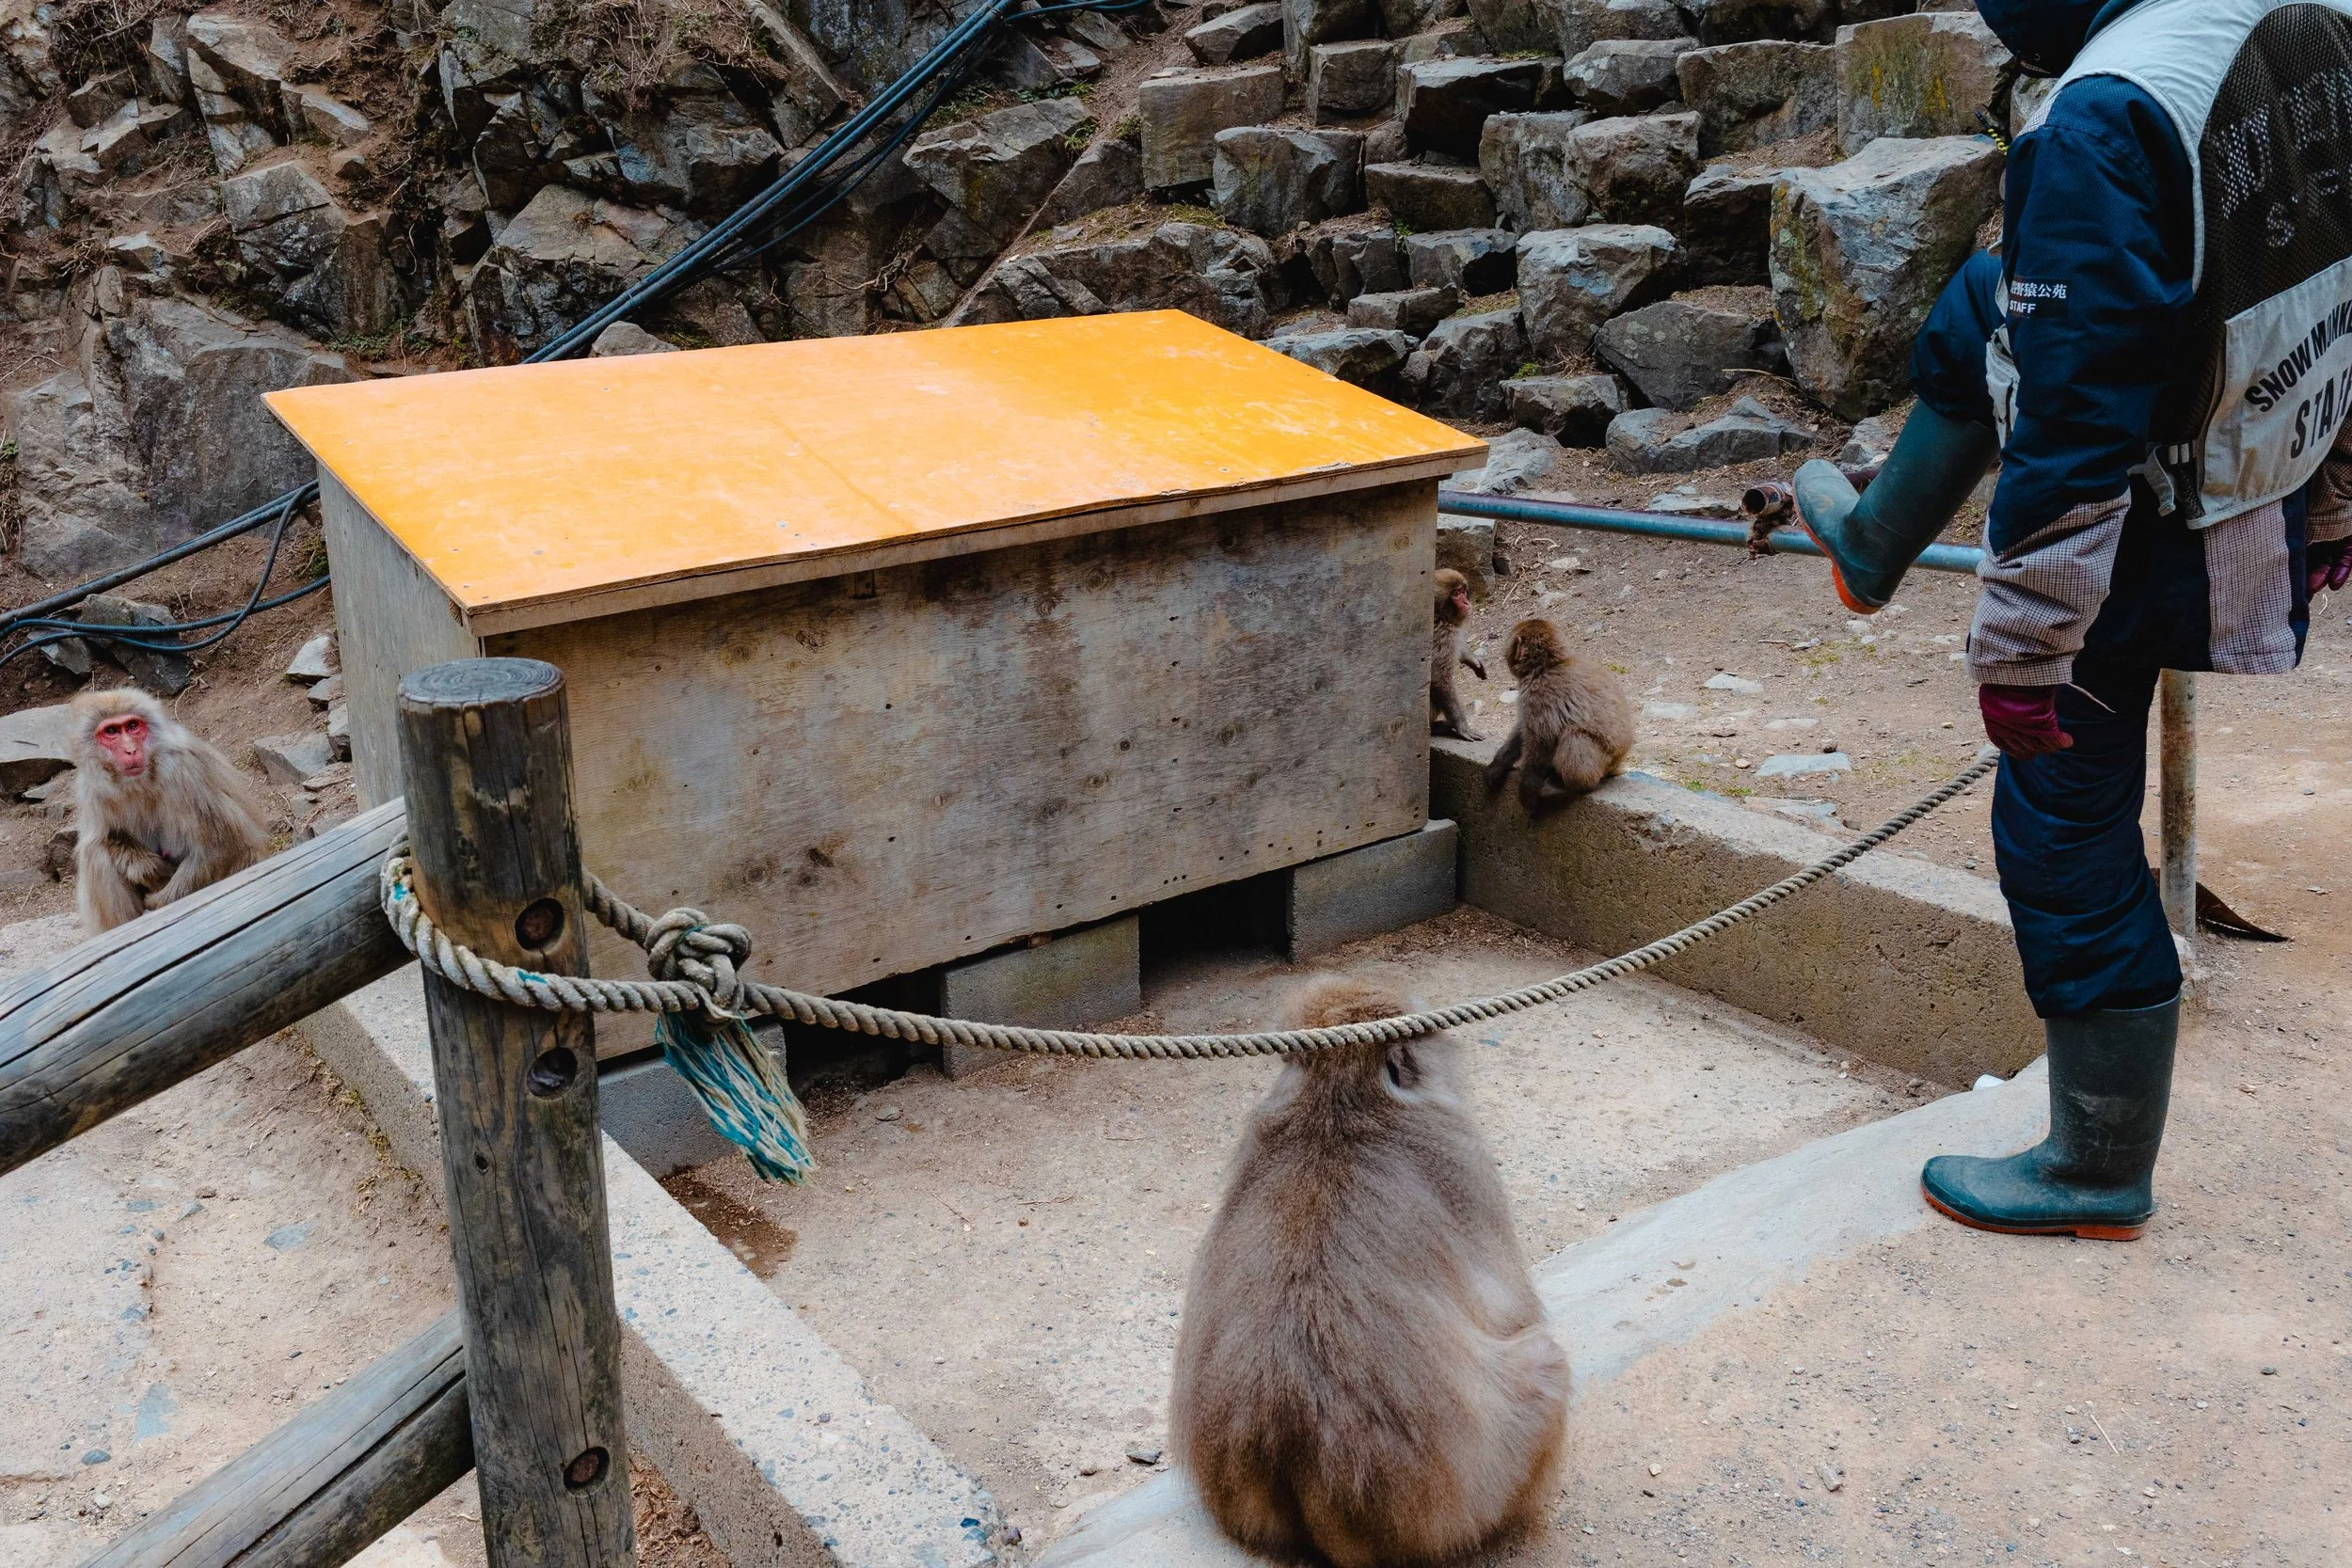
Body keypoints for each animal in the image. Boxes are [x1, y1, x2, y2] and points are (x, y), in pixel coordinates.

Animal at [71, 689, 270, 932]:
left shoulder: (182, 770)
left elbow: (223, 847)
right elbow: (104, 838)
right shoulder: (92, 790)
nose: (130, 750)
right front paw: (143, 867)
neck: (141, 781)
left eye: (132, 726)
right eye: (111, 731)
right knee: (96, 853)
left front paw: (158, 902)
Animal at [1430, 567, 1487, 740]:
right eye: (1455, 594)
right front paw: (1463, 726)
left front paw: (1472, 659)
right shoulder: (1442, 637)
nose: (1466, 602)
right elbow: (1439, 679)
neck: (1439, 616)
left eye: (1462, 591)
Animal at [1483, 618, 1633, 814]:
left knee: (1574, 736)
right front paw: (1498, 766)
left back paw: (1569, 786)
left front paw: (1527, 790)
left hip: (1604, 762)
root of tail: (1618, 762)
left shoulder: (1539, 694)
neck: (1547, 666)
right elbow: (1522, 729)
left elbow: (1541, 740)